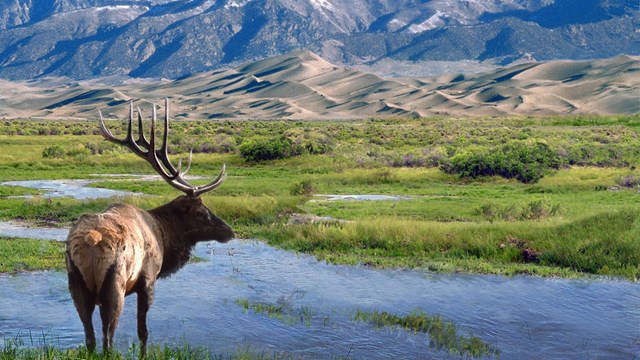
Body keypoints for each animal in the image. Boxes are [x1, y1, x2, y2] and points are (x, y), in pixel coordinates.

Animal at [65, 99, 234, 354]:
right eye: (200, 212)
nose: (229, 231)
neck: (164, 236)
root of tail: (89, 242)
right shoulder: (148, 279)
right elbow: (143, 332)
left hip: (75, 281)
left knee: (90, 336)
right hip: (114, 284)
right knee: (108, 337)